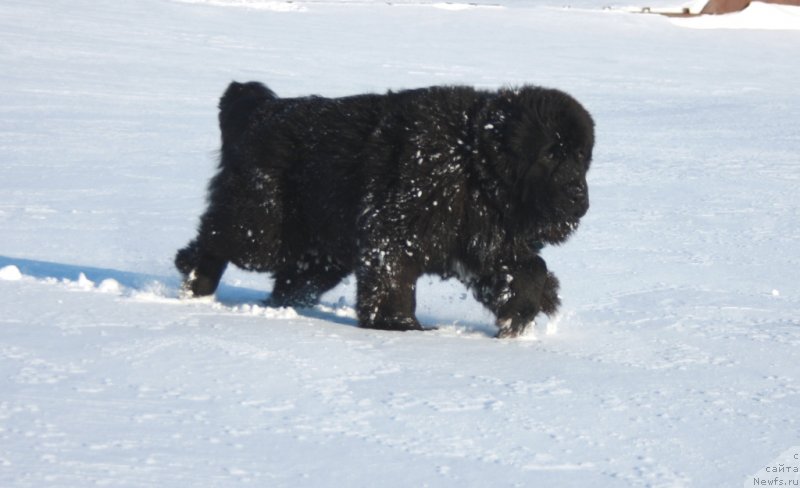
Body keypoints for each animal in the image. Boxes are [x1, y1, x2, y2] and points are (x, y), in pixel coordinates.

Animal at [175, 82, 592, 338]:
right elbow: (393, 278)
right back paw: (195, 283)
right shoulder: (394, 230)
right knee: (217, 241)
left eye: (581, 157)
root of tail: (263, 109)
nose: (579, 196)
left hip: (322, 253)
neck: (474, 164)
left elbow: (529, 270)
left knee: (294, 281)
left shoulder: (487, 242)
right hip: (262, 229)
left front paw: (520, 314)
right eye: (552, 153)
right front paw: (399, 325)